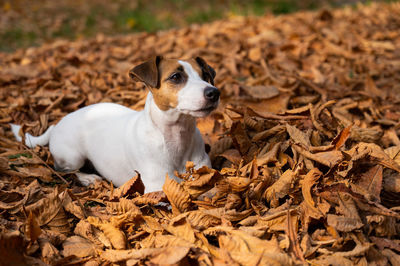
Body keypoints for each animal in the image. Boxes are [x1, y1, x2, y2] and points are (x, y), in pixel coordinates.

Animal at [11, 56, 219, 192]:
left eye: (205, 75)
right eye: (176, 77)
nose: (214, 92)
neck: (175, 135)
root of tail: (58, 124)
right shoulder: (157, 186)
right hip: (72, 156)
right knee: (65, 170)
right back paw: (88, 178)